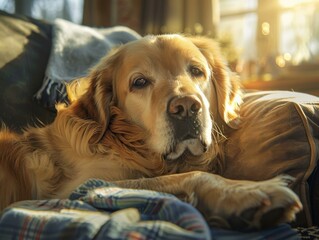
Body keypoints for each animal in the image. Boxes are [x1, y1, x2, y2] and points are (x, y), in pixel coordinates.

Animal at [0, 34, 302, 230]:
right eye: (140, 82)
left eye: (196, 71)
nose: (186, 107)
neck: (127, 142)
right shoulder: (77, 187)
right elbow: (186, 177)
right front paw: (247, 193)